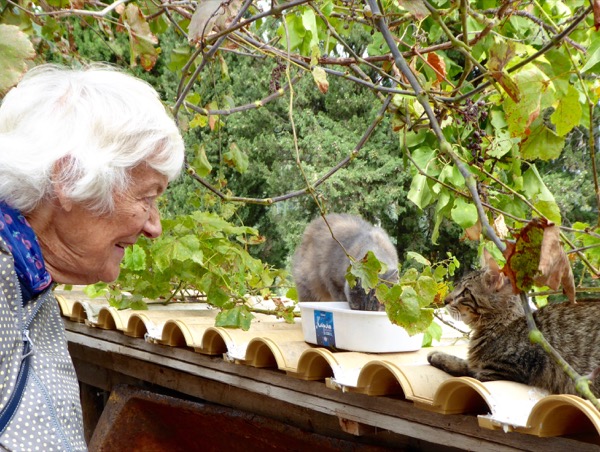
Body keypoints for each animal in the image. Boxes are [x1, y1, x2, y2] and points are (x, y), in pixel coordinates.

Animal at [426, 251, 600, 396]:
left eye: (465, 293)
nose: (445, 300)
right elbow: (466, 363)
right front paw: (439, 356)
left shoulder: (498, 372)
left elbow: (468, 371)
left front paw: (440, 358)